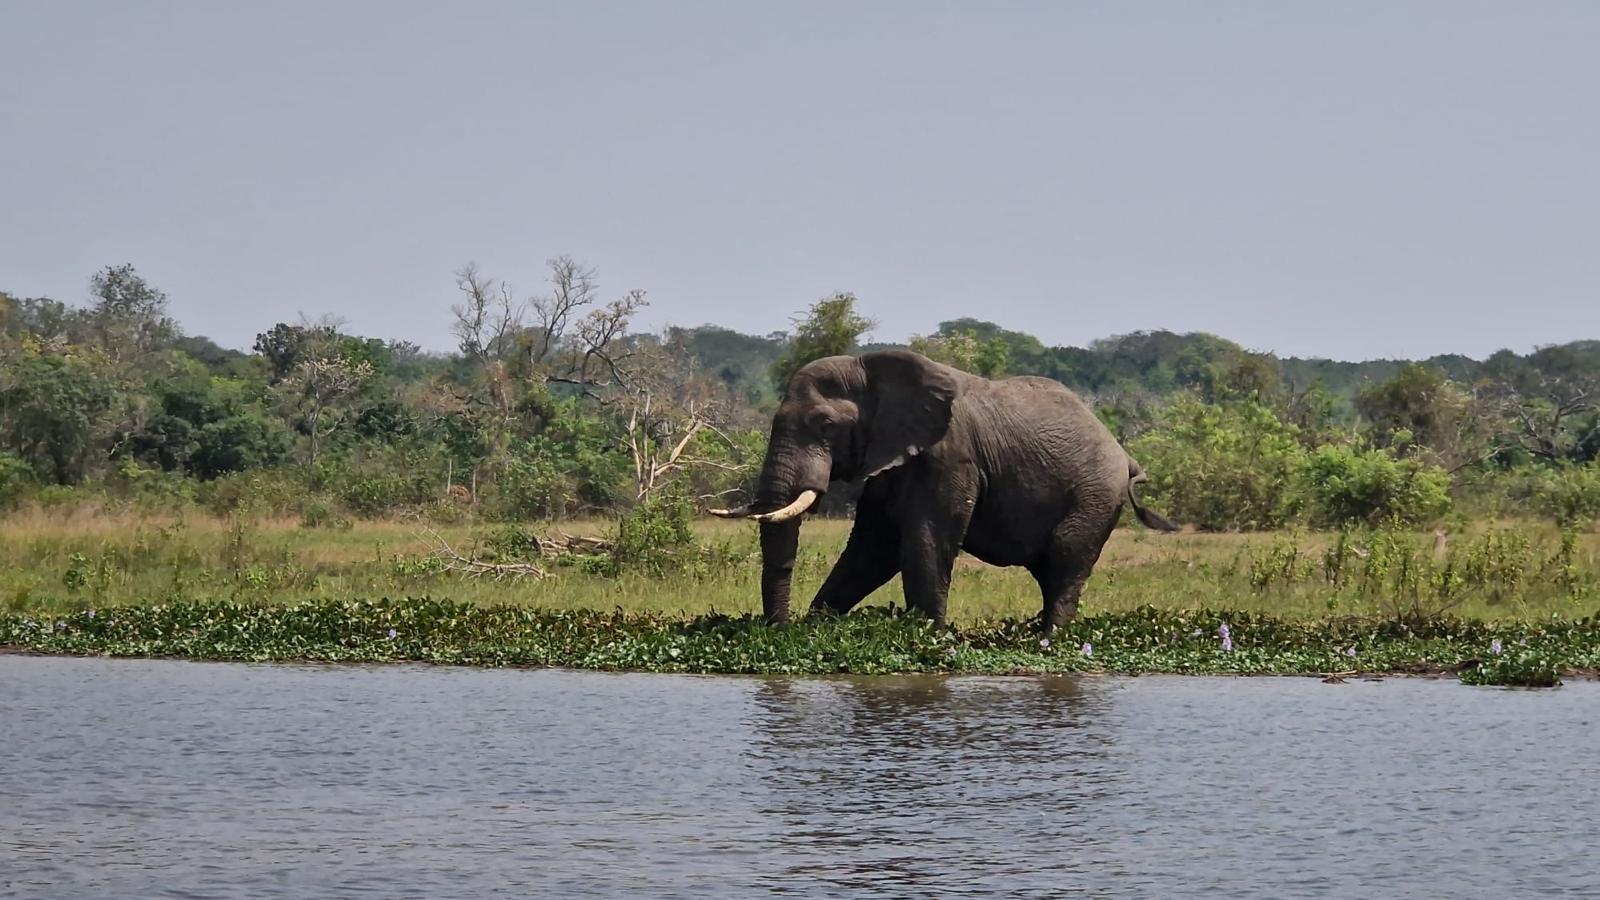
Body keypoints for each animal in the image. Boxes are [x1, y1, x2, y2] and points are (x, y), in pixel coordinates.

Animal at [711, 350, 1178, 628]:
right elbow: (872, 550)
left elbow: (924, 543)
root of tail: (1125, 456)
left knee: (1065, 558)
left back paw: (1049, 638)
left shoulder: (950, 459)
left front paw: (929, 636)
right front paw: (818, 626)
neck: (871, 368)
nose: (778, 627)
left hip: (1095, 496)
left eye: (824, 425)